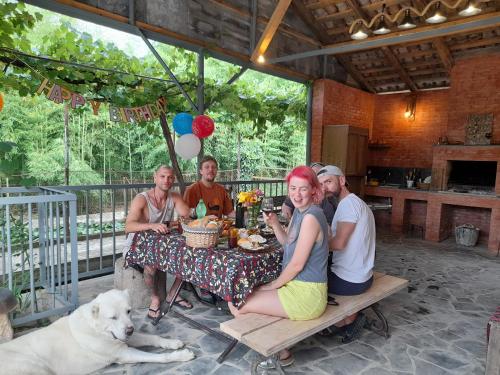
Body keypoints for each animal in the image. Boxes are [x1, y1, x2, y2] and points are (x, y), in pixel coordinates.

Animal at [0, 290, 194, 374]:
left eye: (129, 311)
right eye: (113, 317)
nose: (130, 329)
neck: (97, 328)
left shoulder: (123, 338)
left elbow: (152, 337)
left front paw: (172, 342)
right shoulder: (123, 353)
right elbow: (158, 357)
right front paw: (181, 355)